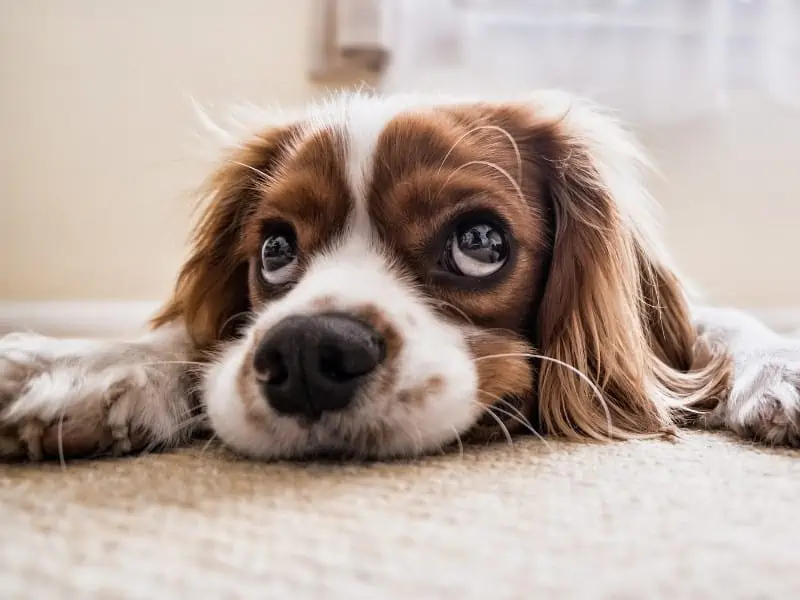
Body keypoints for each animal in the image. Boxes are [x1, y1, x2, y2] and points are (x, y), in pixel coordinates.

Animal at [0, 91, 796, 462]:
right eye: (275, 250)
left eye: (481, 242)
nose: (306, 353)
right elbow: (190, 344)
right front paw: (86, 369)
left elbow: (720, 327)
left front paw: (780, 371)